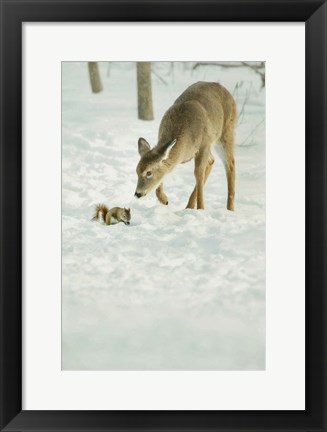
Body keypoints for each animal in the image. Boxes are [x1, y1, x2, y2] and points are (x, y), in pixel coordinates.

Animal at [135, 81, 237, 211]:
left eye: (148, 172)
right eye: (137, 171)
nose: (137, 194)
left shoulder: (204, 144)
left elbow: (198, 173)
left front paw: (201, 208)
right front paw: (164, 199)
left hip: (226, 131)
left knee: (230, 164)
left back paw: (230, 208)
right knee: (212, 161)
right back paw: (189, 206)